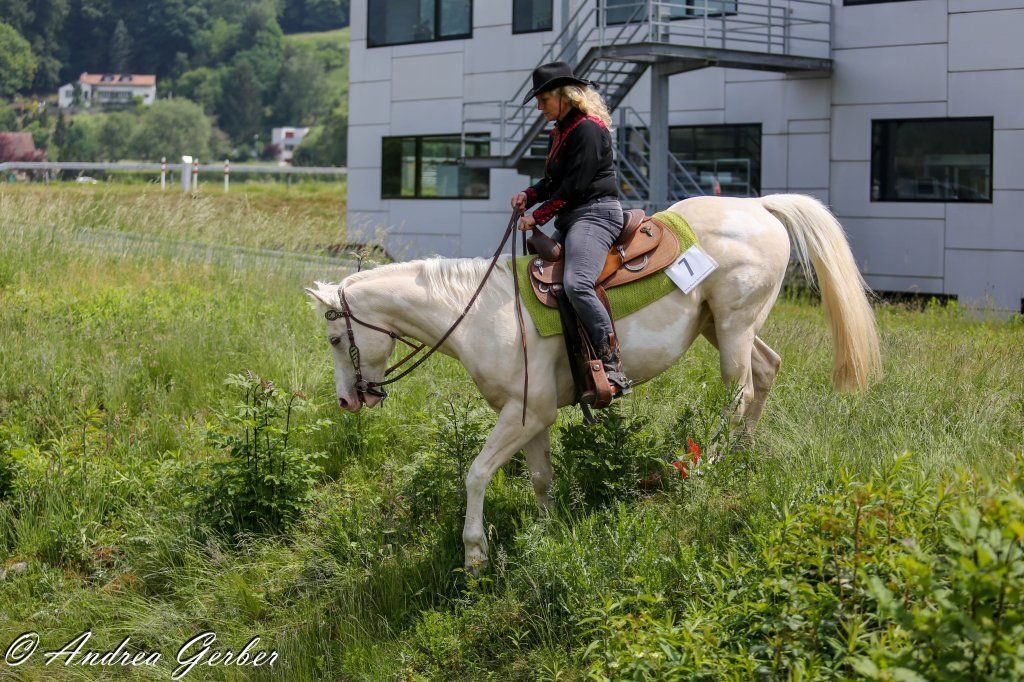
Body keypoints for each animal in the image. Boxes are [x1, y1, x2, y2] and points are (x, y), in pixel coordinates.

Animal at [305, 194, 881, 571]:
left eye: (334, 339)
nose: (347, 401)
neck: (481, 313)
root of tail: (759, 205)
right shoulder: (532, 418)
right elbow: (541, 478)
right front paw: (546, 530)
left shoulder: (523, 413)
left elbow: (475, 474)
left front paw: (474, 554)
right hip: (721, 327)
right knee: (765, 371)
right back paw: (740, 453)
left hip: (734, 325)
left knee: (737, 393)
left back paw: (708, 466)